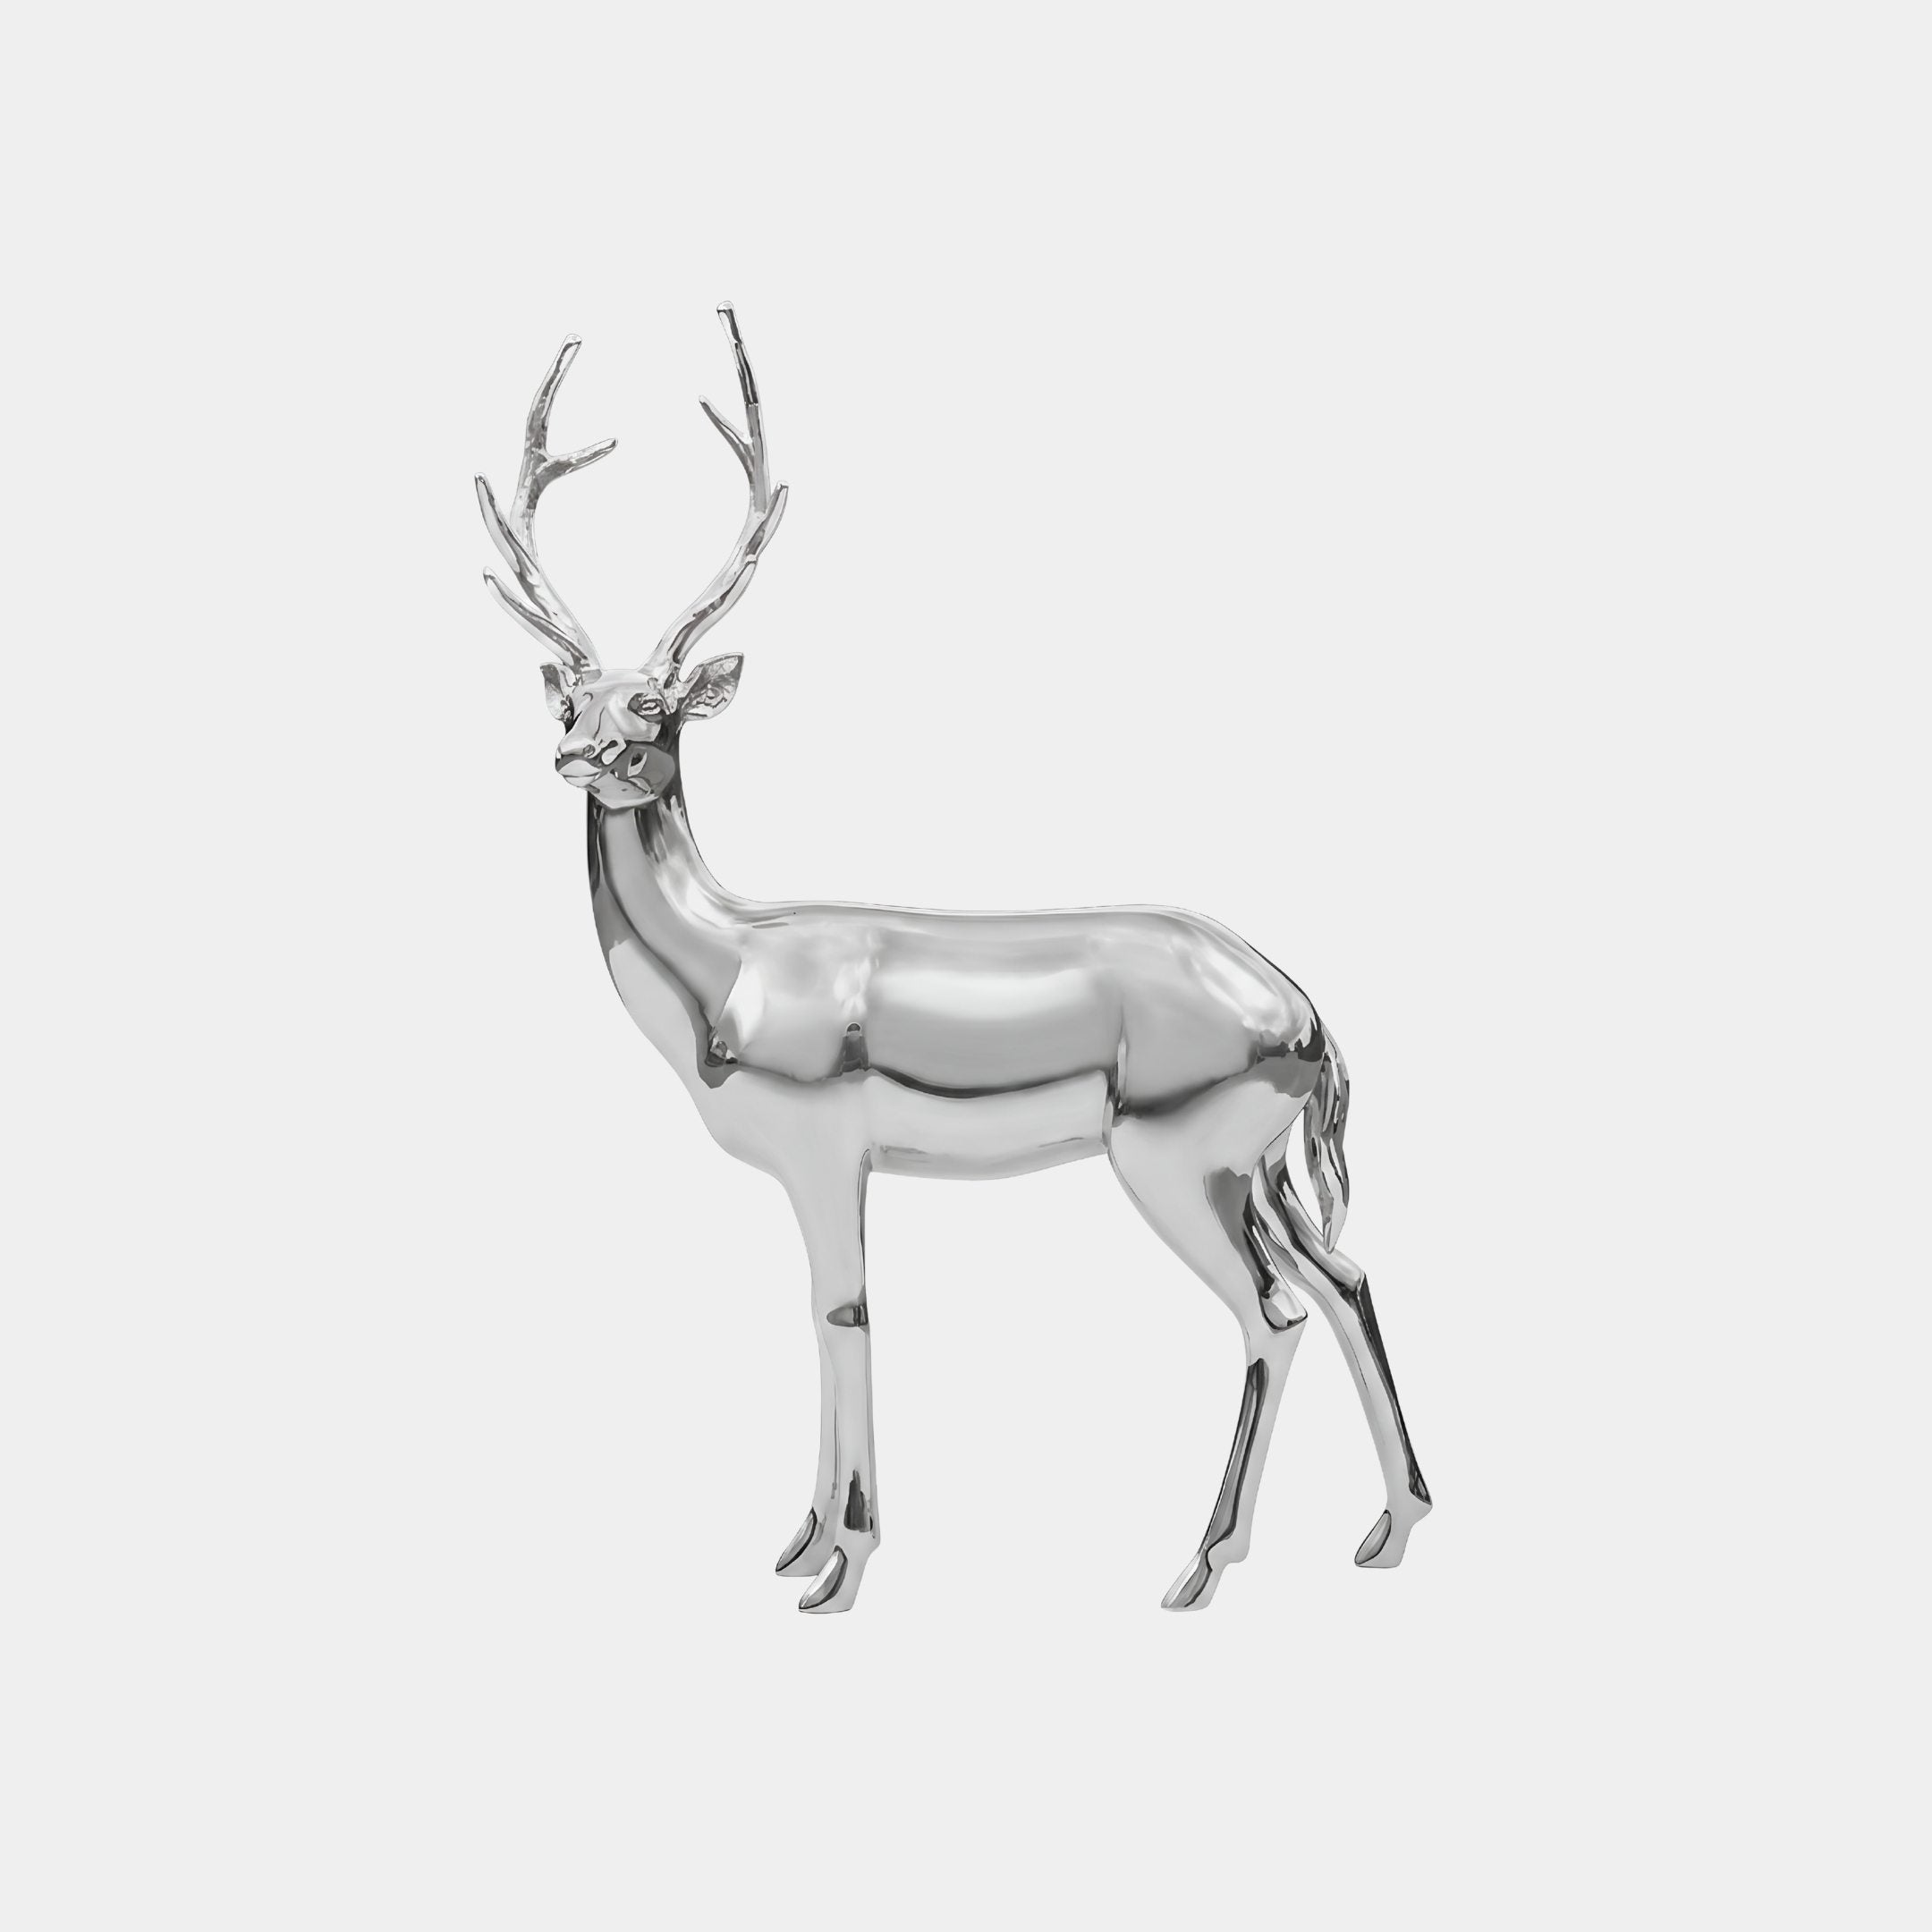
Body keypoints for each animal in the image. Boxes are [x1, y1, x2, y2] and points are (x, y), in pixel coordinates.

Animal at [476, 306, 1431, 1612]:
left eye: (657, 708)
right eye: (574, 699)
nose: (584, 756)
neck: (733, 964)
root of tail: (1306, 1014)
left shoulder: (827, 1152)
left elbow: (845, 1312)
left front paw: (841, 1569)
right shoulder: (824, 1169)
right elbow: (816, 1315)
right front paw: (796, 1544)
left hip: (1178, 1165)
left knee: (1274, 1313)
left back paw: (1198, 1568)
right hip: (1263, 1172)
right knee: (1348, 1279)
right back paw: (1389, 1532)